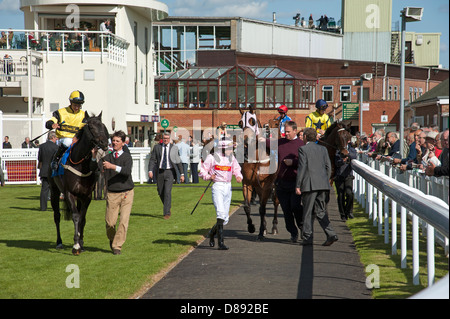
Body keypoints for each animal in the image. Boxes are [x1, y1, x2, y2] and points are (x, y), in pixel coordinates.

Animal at [48, 114, 109, 256]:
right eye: (91, 127)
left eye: (103, 126)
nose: (104, 143)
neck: (81, 164)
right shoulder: (69, 193)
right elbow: (75, 216)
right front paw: (75, 245)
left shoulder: (86, 196)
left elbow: (82, 218)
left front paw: (81, 243)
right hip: (54, 191)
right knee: (57, 216)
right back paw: (59, 242)